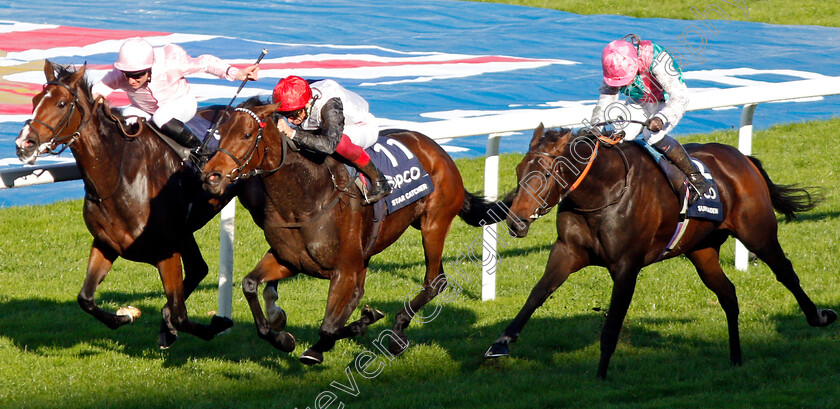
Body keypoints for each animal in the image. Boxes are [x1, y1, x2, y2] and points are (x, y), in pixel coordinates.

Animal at [15, 60, 262, 348]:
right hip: (184, 233)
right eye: (34, 100)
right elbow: (85, 298)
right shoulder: (106, 243)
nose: (23, 143)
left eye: (62, 104)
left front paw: (215, 324)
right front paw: (125, 317)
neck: (120, 175)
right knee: (198, 268)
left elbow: (180, 314)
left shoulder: (167, 251)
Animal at [482, 122, 836, 378]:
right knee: (728, 293)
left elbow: (612, 324)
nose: (515, 222)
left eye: (544, 173)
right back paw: (735, 357)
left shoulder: (626, 267)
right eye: (518, 171)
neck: (604, 191)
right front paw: (501, 343)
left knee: (786, 273)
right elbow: (537, 294)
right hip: (702, 250)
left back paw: (819, 316)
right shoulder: (567, 252)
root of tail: (742, 158)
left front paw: (600, 376)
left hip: (758, 233)